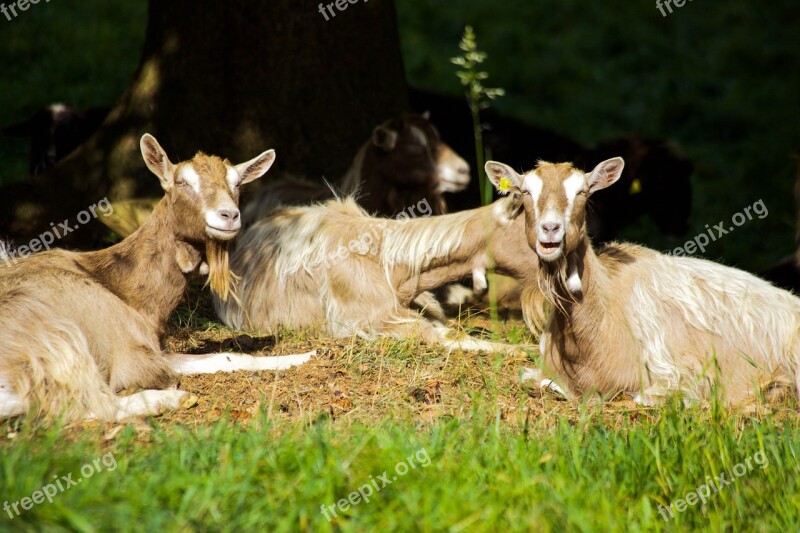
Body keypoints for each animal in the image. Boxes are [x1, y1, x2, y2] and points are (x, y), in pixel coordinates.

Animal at [0, 134, 312, 424]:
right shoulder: (135, 355)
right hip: (60, 345)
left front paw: (304, 356)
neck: (125, 291)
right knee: (84, 404)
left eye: (236, 184)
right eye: (182, 182)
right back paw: (172, 399)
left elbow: (231, 356)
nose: (229, 215)